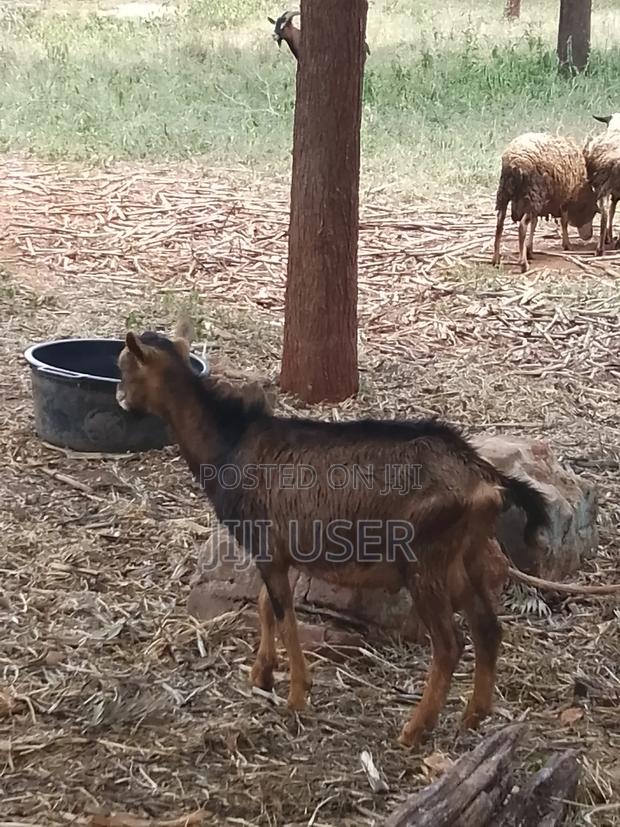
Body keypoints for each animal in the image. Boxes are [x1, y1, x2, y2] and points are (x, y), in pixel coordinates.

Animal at [116, 325, 550, 747]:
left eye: (125, 367)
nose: (120, 399)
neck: (229, 444)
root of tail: (483, 476)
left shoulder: (265, 545)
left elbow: (285, 616)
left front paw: (295, 696)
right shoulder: (284, 551)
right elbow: (265, 605)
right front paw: (262, 674)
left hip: (424, 559)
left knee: (449, 643)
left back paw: (414, 730)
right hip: (463, 559)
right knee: (488, 629)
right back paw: (473, 717)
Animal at [492, 132, 598, 272]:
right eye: (592, 212)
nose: (589, 236)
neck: (580, 191)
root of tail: (515, 163)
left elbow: (534, 223)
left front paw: (530, 250)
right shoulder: (565, 199)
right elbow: (564, 222)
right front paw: (567, 245)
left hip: (505, 193)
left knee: (499, 223)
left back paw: (496, 260)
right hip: (532, 194)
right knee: (522, 226)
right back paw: (523, 264)